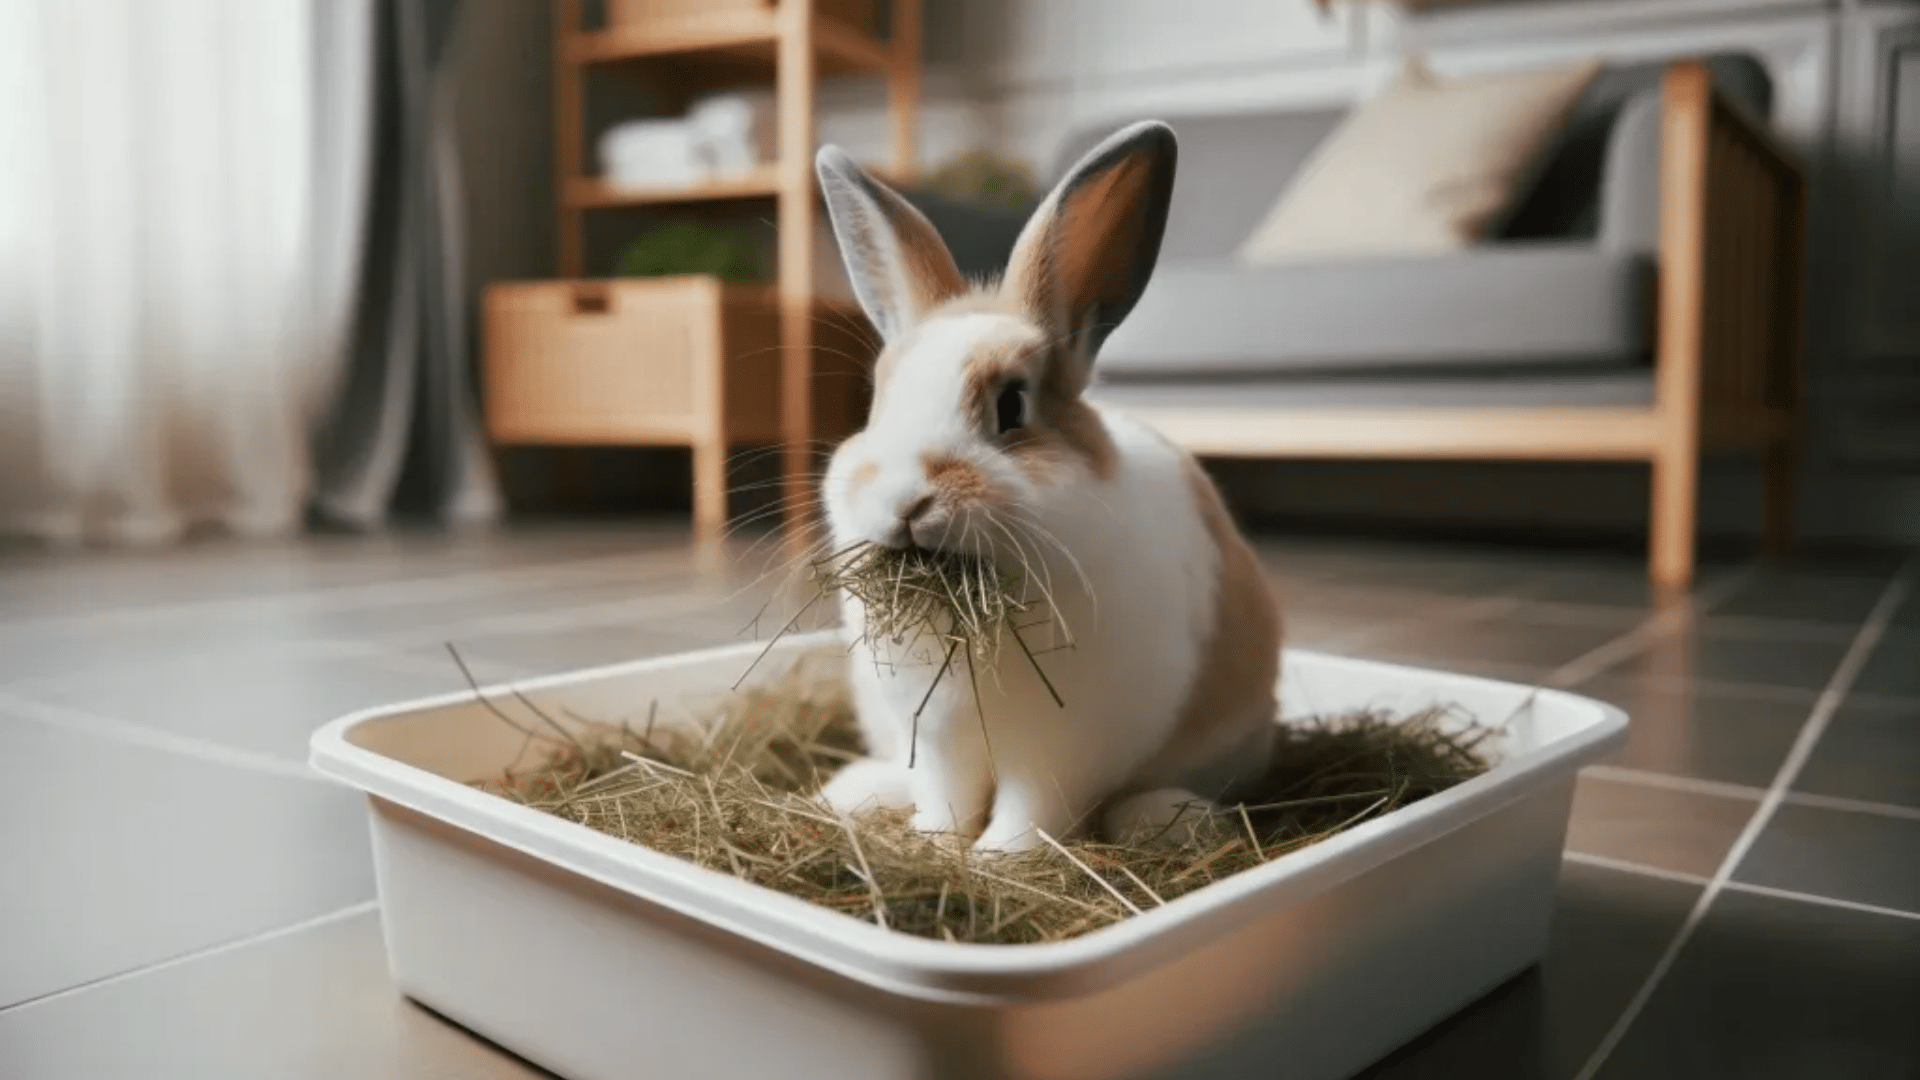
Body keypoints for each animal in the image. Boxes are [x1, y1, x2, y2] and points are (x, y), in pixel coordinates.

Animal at [810, 121, 1282, 854]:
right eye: (876, 402)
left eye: (1012, 407)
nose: (908, 499)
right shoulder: (938, 737)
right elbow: (946, 799)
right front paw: (936, 846)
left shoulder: (1061, 752)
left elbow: (1031, 810)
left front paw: (996, 860)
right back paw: (855, 792)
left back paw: (1172, 820)